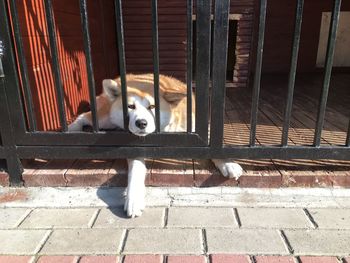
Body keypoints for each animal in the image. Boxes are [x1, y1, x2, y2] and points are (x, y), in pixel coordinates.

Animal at [68, 73, 243, 218]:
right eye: (130, 106)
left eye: (152, 107)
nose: (141, 123)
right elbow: (136, 172)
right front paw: (134, 199)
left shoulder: (197, 131)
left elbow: (214, 145)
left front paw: (228, 163)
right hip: (107, 120)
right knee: (85, 116)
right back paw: (72, 129)